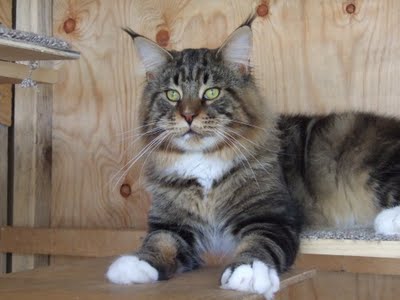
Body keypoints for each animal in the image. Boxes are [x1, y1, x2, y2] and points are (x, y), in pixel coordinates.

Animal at [106, 17, 400, 300]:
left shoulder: (270, 215)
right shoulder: (173, 223)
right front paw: (136, 265)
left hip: (375, 163)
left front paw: (247, 271)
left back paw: (388, 220)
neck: (203, 164)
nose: (188, 116)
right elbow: (159, 242)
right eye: (172, 95)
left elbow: (258, 243)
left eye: (211, 92)